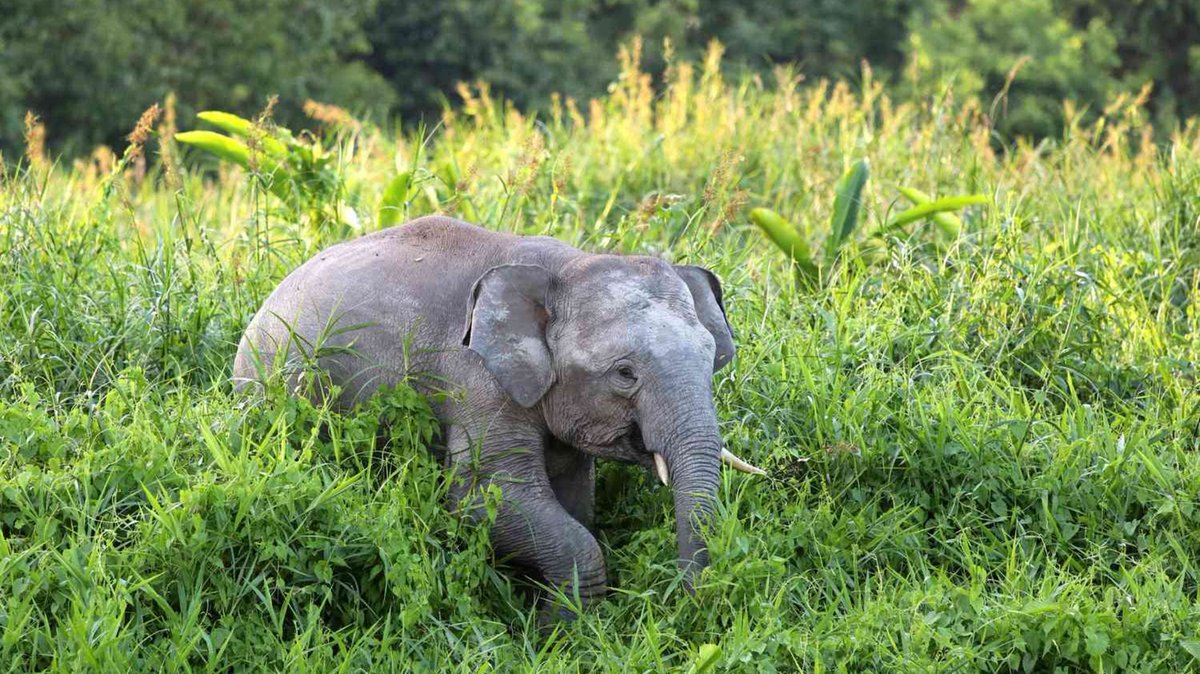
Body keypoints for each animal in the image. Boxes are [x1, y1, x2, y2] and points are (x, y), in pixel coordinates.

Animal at [232, 215, 764, 617]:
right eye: (625, 373)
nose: (682, 598)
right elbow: (480, 499)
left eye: (711, 357)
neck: (567, 265)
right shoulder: (475, 380)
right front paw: (557, 633)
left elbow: (574, 498)